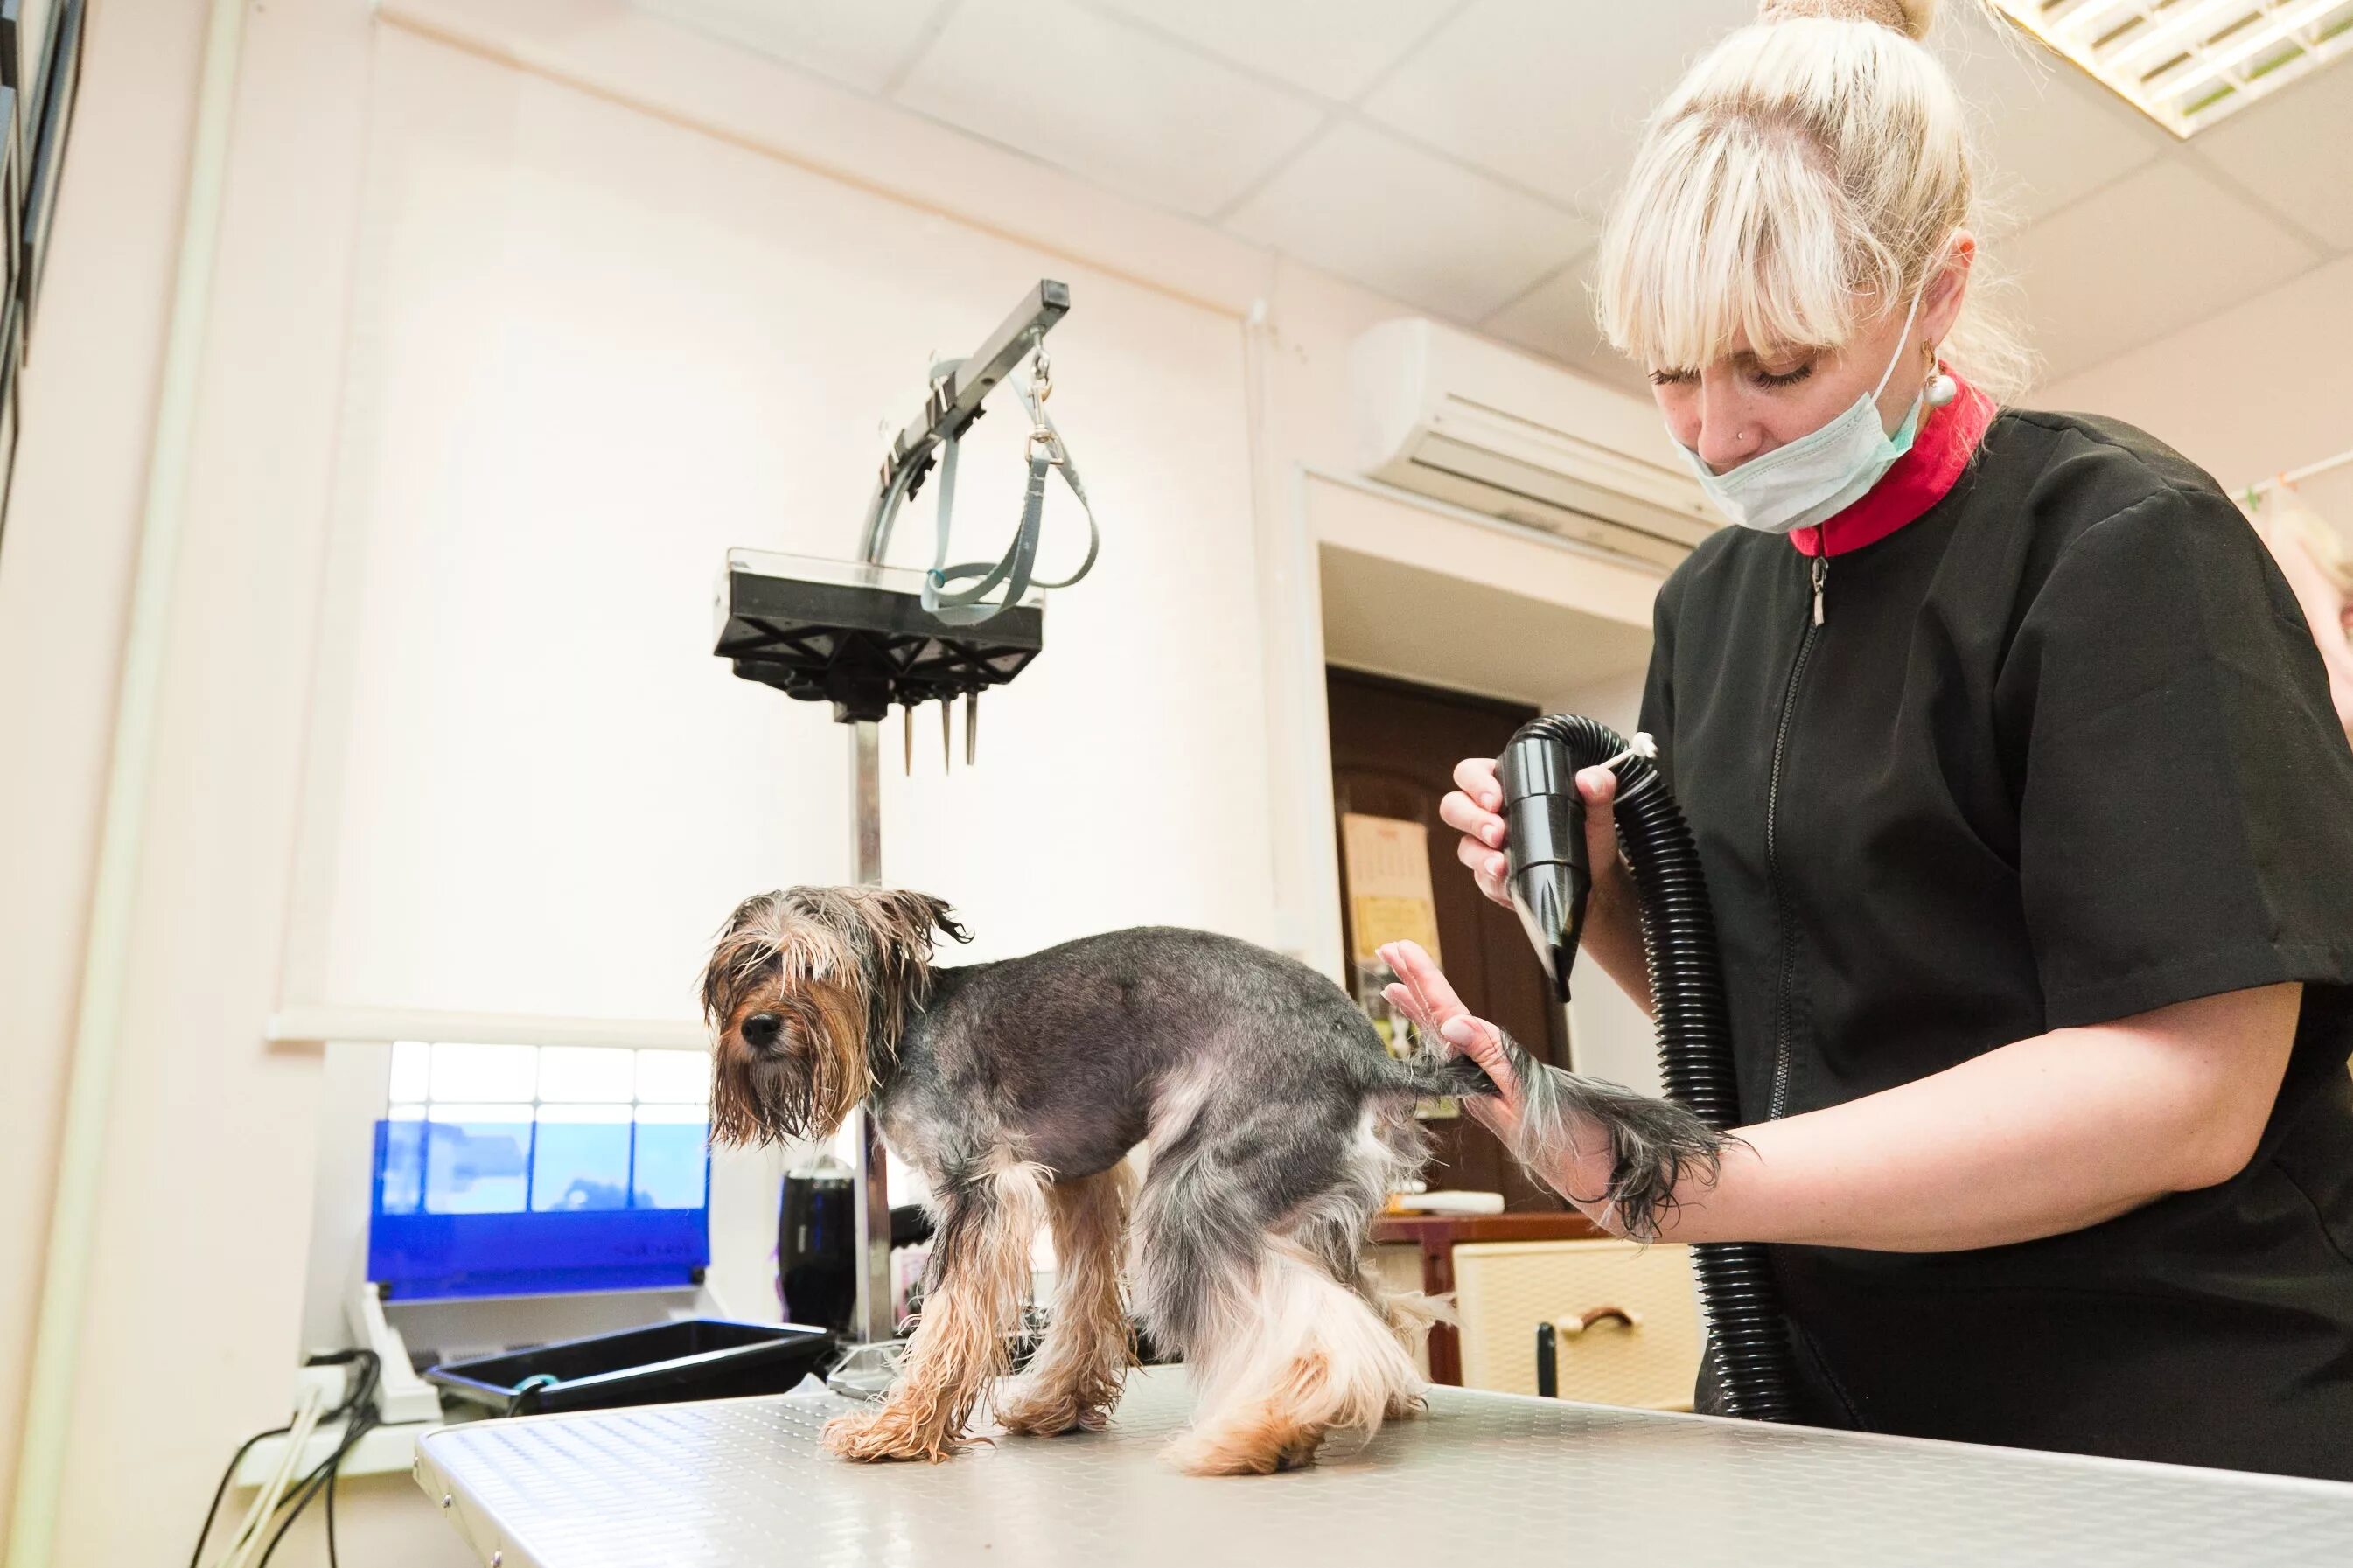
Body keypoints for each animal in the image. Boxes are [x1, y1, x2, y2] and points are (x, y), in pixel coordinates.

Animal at [687, 889, 1722, 1476]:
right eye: (741, 968)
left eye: (816, 968)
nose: (760, 1027)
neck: (903, 1022)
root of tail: (1368, 1057)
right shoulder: (1081, 1180)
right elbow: (1083, 1308)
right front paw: (1057, 1405)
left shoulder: (982, 1187)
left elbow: (948, 1323)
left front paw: (897, 1428)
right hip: (1289, 1200)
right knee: (1364, 1315)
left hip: (1197, 1190)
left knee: (1310, 1329)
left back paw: (1263, 1434)